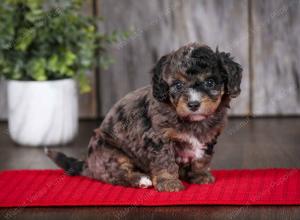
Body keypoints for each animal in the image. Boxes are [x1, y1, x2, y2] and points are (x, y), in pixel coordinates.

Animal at [47, 42, 244, 191]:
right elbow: (164, 161)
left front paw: (200, 175)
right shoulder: (158, 138)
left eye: (210, 82)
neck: (192, 121)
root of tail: (88, 164)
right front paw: (169, 182)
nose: (193, 104)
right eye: (178, 85)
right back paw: (141, 179)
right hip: (110, 151)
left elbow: (202, 158)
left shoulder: (208, 137)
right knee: (115, 174)